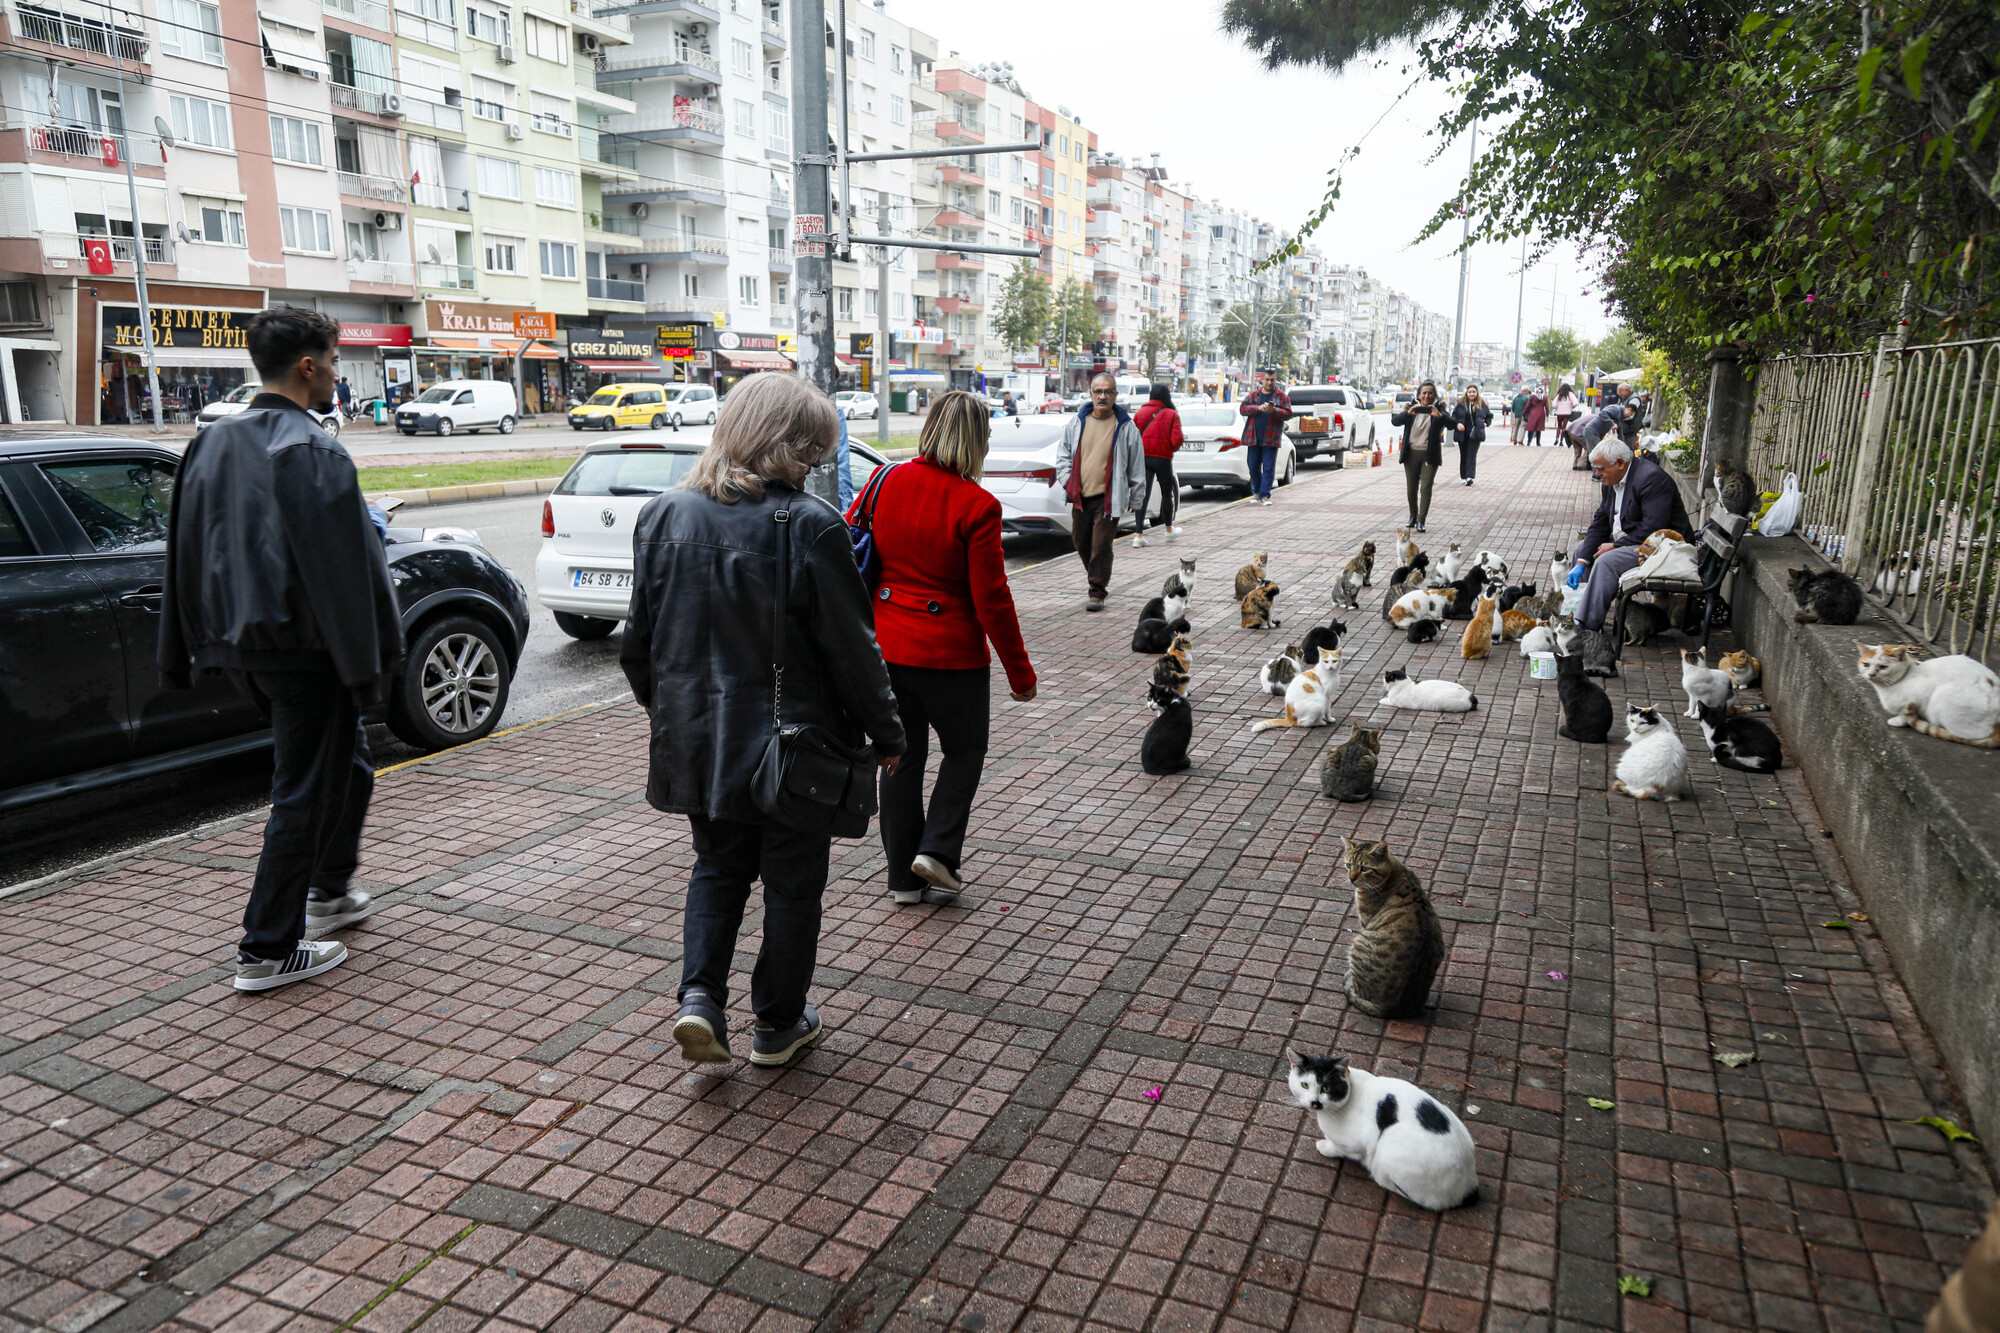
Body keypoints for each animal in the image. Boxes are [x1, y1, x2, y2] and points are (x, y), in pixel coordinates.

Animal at [1280, 1056, 1488, 1208]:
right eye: (1305, 1085)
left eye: (1326, 1088)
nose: (1314, 1102)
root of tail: (1469, 1186)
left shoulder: (1356, 1143)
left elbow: (1340, 1148)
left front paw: (1326, 1147)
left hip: (1389, 1149)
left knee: (1425, 1200)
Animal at [1336, 840, 1448, 1016]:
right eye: (1348, 865)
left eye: (1364, 868)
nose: (1351, 878)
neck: (1393, 872)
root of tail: (1390, 1008)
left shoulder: (1365, 920)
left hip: (1359, 944)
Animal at [1856, 644, 2000, 748]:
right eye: (1866, 664)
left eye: (1883, 667)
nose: (1871, 674)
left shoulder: (1924, 692)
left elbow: (1905, 712)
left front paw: (1900, 720)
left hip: (1942, 695)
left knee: (1975, 734)